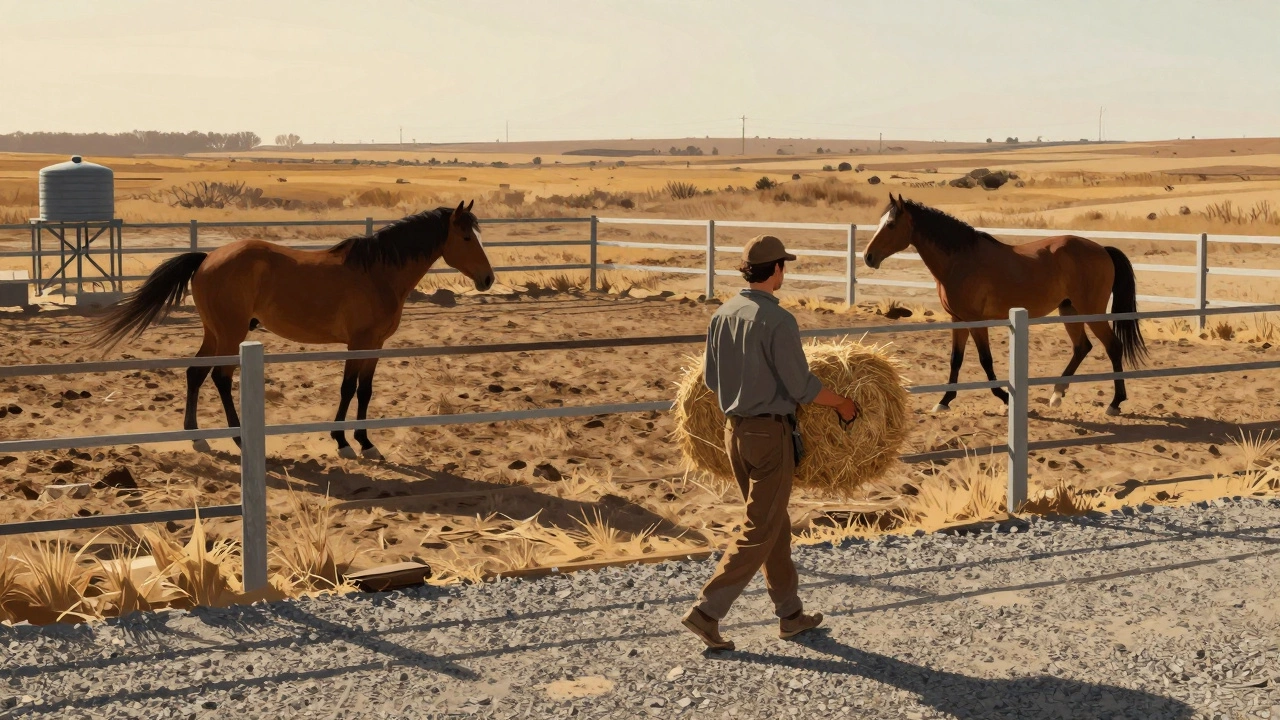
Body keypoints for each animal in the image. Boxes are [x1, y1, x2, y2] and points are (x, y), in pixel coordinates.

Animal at [93, 201, 495, 459]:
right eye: (466, 238)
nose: (488, 279)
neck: (378, 273)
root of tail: (207, 258)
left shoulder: (374, 345)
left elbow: (365, 391)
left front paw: (365, 442)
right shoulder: (358, 342)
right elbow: (348, 388)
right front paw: (342, 441)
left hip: (215, 333)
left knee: (196, 373)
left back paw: (196, 435)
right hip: (231, 334)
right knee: (220, 377)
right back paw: (238, 439)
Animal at [863, 194, 1147, 416]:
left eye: (890, 225)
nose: (868, 257)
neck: (960, 261)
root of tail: (1102, 249)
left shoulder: (976, 321)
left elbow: (985, 360)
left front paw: (1004, 397)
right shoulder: (958, 319)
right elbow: (956, 359)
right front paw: (944, 401)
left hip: (1090, 311)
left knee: (1113, 346)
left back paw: (1114, 403)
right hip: (1069, 310)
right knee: (1082, 347)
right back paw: (1057, 394)